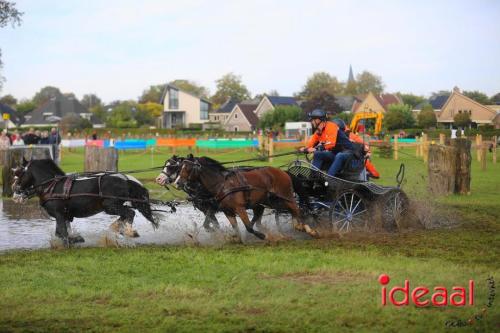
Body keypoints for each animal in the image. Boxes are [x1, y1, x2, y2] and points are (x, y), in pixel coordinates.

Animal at [12, 157, 158, 245]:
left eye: (19, 173)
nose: (14, 189)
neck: (52, 186)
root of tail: (125, 180)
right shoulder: (65, 216)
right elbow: (62, 232)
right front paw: (75, 238)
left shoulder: (59, 214)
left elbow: (62, 234)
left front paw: (73, 240)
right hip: (113, 206)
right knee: (126, 215)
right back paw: (118, 228)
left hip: (110, 206)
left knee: (129, 213)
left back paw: (128, 231)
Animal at [176, 154, 316, 240]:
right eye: (180, 167)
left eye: (187, 168)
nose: (177, 182)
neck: (222, 184)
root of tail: (283, 172)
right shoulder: (228, 211)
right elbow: (236, 228)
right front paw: (236, 239)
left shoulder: (240, 208)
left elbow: (248, 227)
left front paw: (263, 236)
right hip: (272, 202)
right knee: (291, 212)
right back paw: (298, 227)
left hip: (286, 197)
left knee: (298, 210)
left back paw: (309, 230)